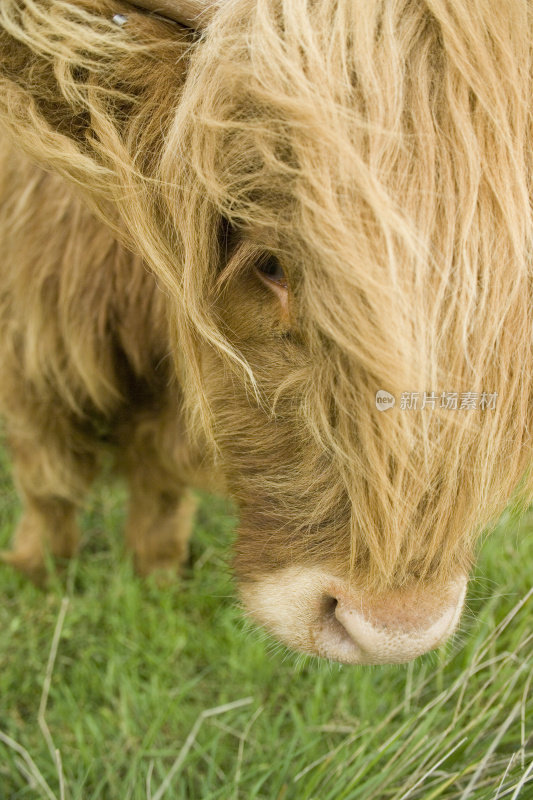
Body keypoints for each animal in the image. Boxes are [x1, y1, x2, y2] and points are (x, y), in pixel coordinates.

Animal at [0, 0, 528, 664]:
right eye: (270, 264)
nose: (392, 631)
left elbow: (161, 483)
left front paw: (157, 578)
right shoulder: (31, 347)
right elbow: (49, 478)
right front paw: (37, 575)